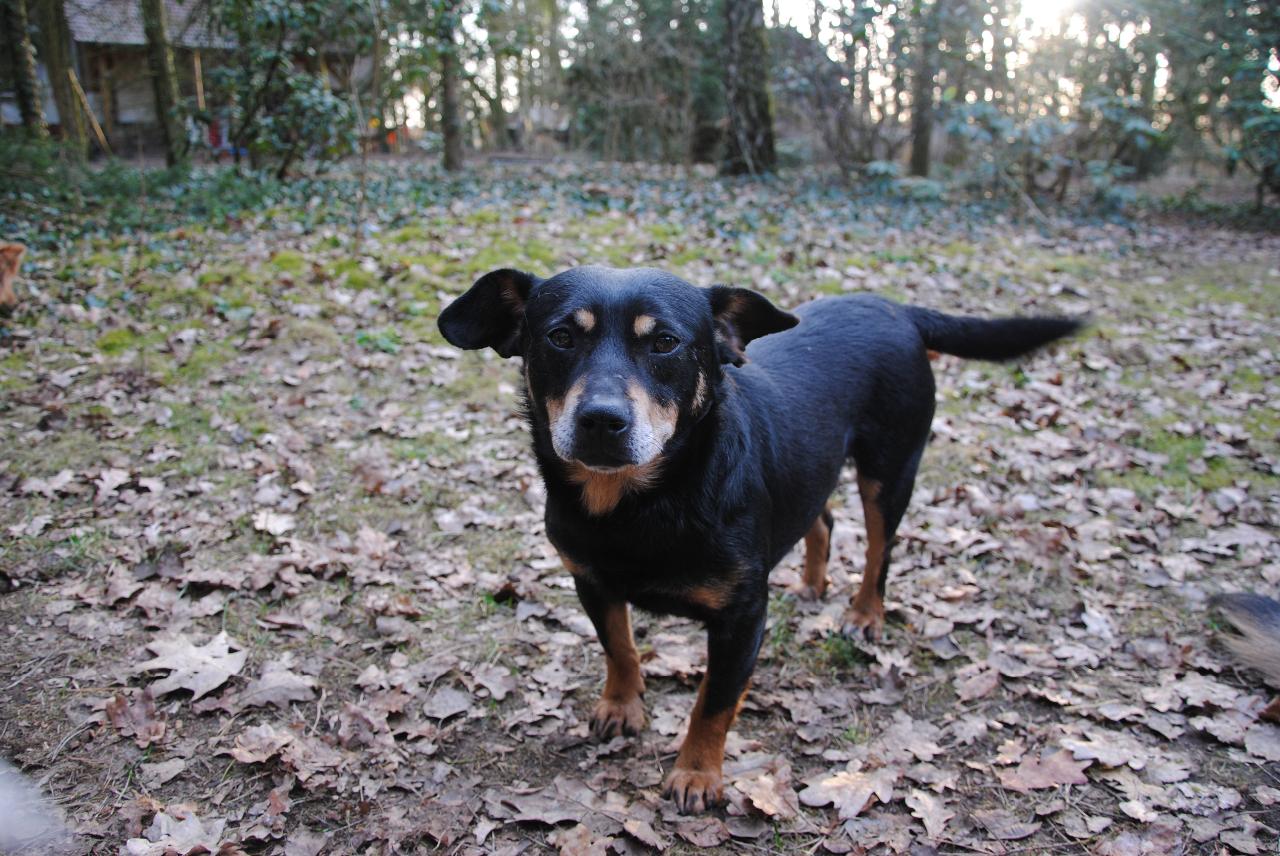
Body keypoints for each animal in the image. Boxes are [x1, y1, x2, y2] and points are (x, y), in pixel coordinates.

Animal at [439, 266, 1082, 812]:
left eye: (665, 342)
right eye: (560, 337)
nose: (601, 419)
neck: (638, 503)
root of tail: (894, 307)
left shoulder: (742, 616)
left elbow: (714, 703)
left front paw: (696, 774)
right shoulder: (590, 579)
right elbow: (619, 646)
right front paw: (621, 704)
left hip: (890, 470)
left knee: (880, 550)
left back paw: (864, 614)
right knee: (821, 520)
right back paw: (813, 583)